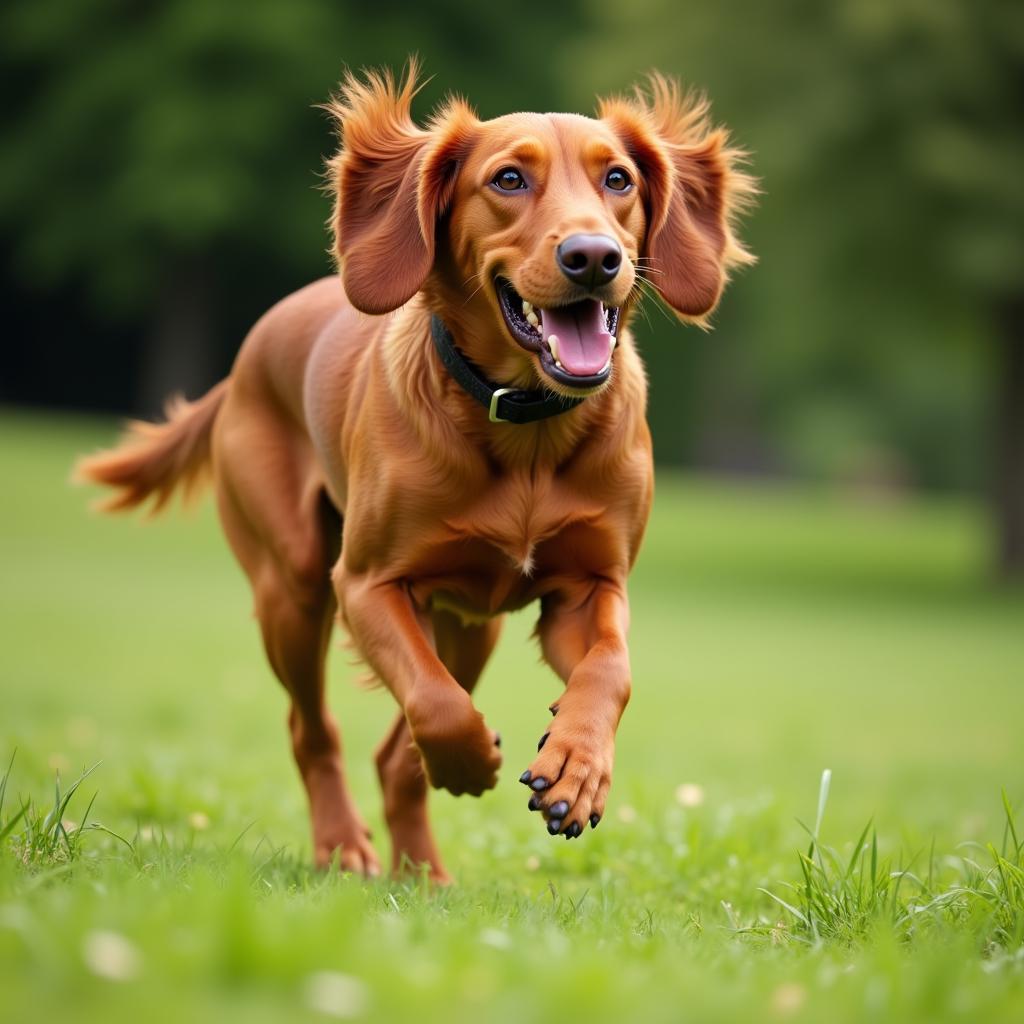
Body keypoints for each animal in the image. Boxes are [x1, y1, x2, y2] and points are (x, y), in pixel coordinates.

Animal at [77, 61, 753, 880]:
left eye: (618, 178)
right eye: (508, 179)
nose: (594, 257)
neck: (527, 428)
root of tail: (241, 364)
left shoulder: (590, 587)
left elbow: (609, 670)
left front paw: (575, 768)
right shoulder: (366, 583)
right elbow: (434, 704)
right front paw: (470, 762)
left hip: (470, 627)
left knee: (394, 753)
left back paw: (424, 873)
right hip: (293, 587)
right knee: (315, 729)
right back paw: (345, 845)